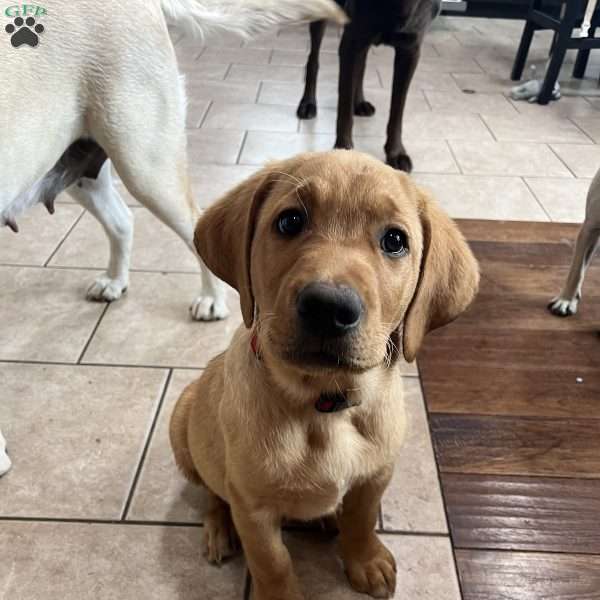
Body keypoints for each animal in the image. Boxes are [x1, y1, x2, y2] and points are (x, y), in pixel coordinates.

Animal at [0, 0, 344, 324]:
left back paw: (211, 299)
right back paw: (115, 280)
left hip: (146, 165)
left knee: (193, 224)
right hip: (80, 167)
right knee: (122, 220)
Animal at [170, 151, 478, 600]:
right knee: (213, 491)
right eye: (289, 222)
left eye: (394, 240)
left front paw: (365, 560)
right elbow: (272, 561)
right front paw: (279, 594)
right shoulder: (253, 506)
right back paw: (218, 528)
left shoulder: (376, 476)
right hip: (182, 424)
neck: (324, 405)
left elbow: (362, 520)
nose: (328, 308)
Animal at [296, 1, 440, 172]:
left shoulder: (411, 50)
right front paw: (344, 152)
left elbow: (398, 110)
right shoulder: (351, 43)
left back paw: (360, 102)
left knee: (362, 65)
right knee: (313, 59)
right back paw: (308, 103)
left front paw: (396, 152)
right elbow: (345, 109)